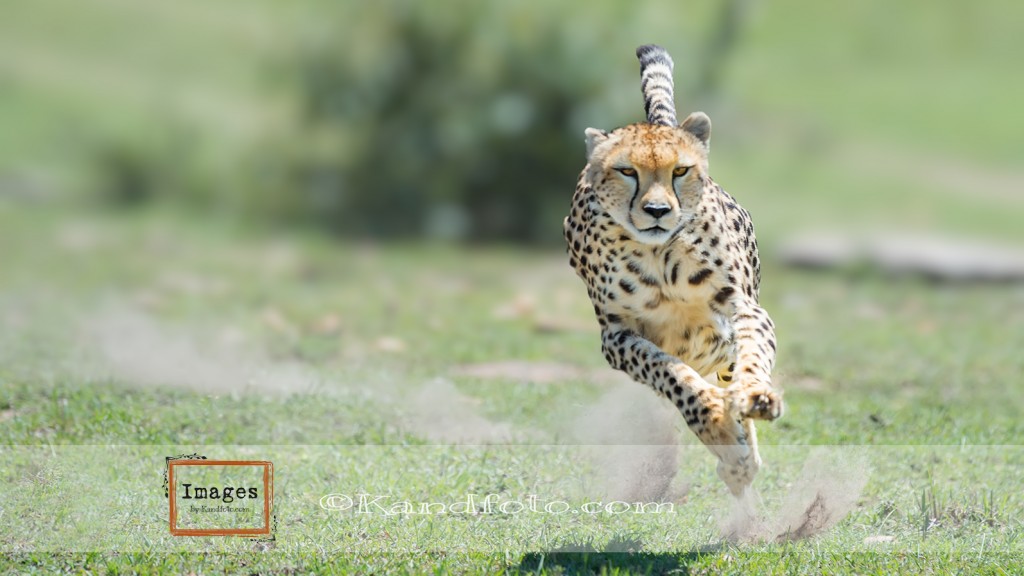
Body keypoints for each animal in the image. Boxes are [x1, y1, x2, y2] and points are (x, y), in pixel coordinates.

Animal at [565, 44, 778, 496]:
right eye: (627, 171)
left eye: (680, 170)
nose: (658, 211)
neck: (660, 255)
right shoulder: (617, 336)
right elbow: (668, 372)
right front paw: (713, 419)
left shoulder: (742, 308)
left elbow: (753, 353)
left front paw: (755, 396)